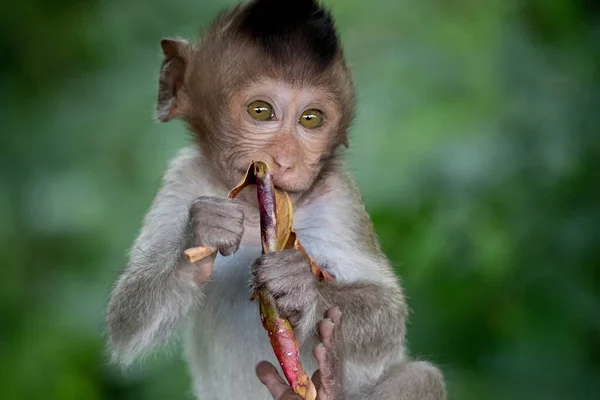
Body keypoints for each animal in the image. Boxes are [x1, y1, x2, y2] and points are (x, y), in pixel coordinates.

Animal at [108, 0, 446, 400]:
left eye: (311, 119)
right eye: (260, 111)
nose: (284, 159)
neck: (254, 210)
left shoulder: (341, 198)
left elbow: (389, 310)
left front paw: (303, 287)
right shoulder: (181, 178)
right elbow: (125, 319)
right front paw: (202, 231)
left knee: (420, 377)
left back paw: (330, 382)